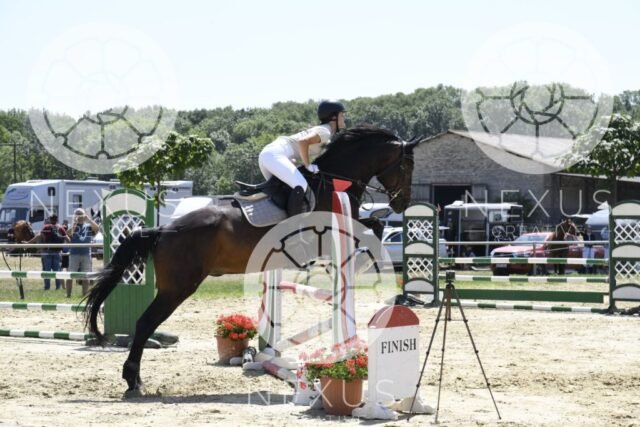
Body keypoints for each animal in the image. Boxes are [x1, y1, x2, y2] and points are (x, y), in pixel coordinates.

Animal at [84, 126, 421, 396]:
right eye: (407, 165)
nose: (402, 202)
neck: (333, 180)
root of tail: (165, 229)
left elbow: (374, 226)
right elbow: (373, 228)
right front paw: (362, 262)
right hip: (177, 288)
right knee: (144, 324)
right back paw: (133, 381)